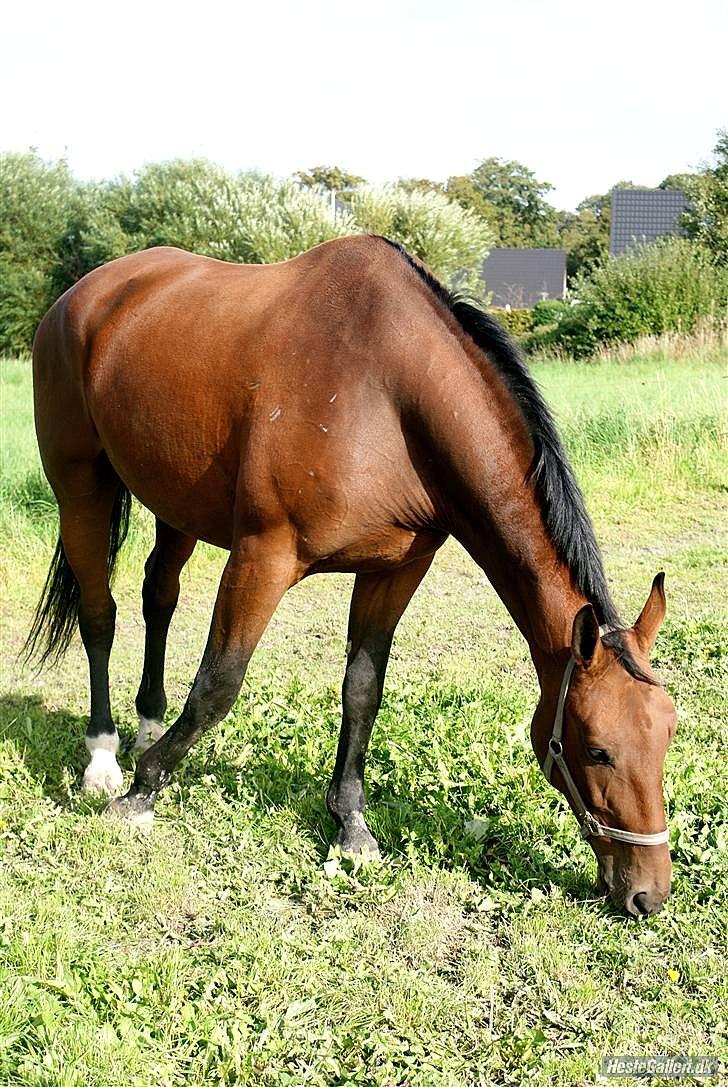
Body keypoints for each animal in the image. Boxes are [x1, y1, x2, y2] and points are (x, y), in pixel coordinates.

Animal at [27, 235, 678, 917]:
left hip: (175, 505)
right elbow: (217, 685)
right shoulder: (263, 556)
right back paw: (104, 757)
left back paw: (148, 723)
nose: (647, 893)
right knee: (100, 615)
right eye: (597, 748)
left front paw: (350, 826)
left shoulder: (395, 569)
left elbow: (362, 692)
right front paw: (142, 793)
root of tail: (81, 295)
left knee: (159, 594)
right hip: (79, 488)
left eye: (667, 735)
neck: (388, 392)